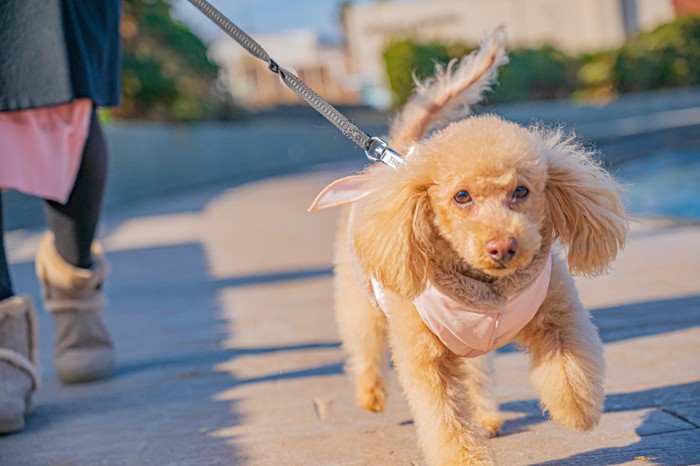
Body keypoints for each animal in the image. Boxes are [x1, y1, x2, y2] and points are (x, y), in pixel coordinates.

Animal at [308, 28, 628, 466]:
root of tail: (399, 157)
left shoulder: (557, 315)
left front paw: (577, 411)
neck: (487, 291)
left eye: (521, 191)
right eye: (461, 197)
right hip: (361, 299)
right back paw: (370, 395)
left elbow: (569, 368)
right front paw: (465, 458)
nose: (503, 247)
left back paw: (487, 417)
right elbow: (445, 420)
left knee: (475, 372)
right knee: (364, 347)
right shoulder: (426, 357)